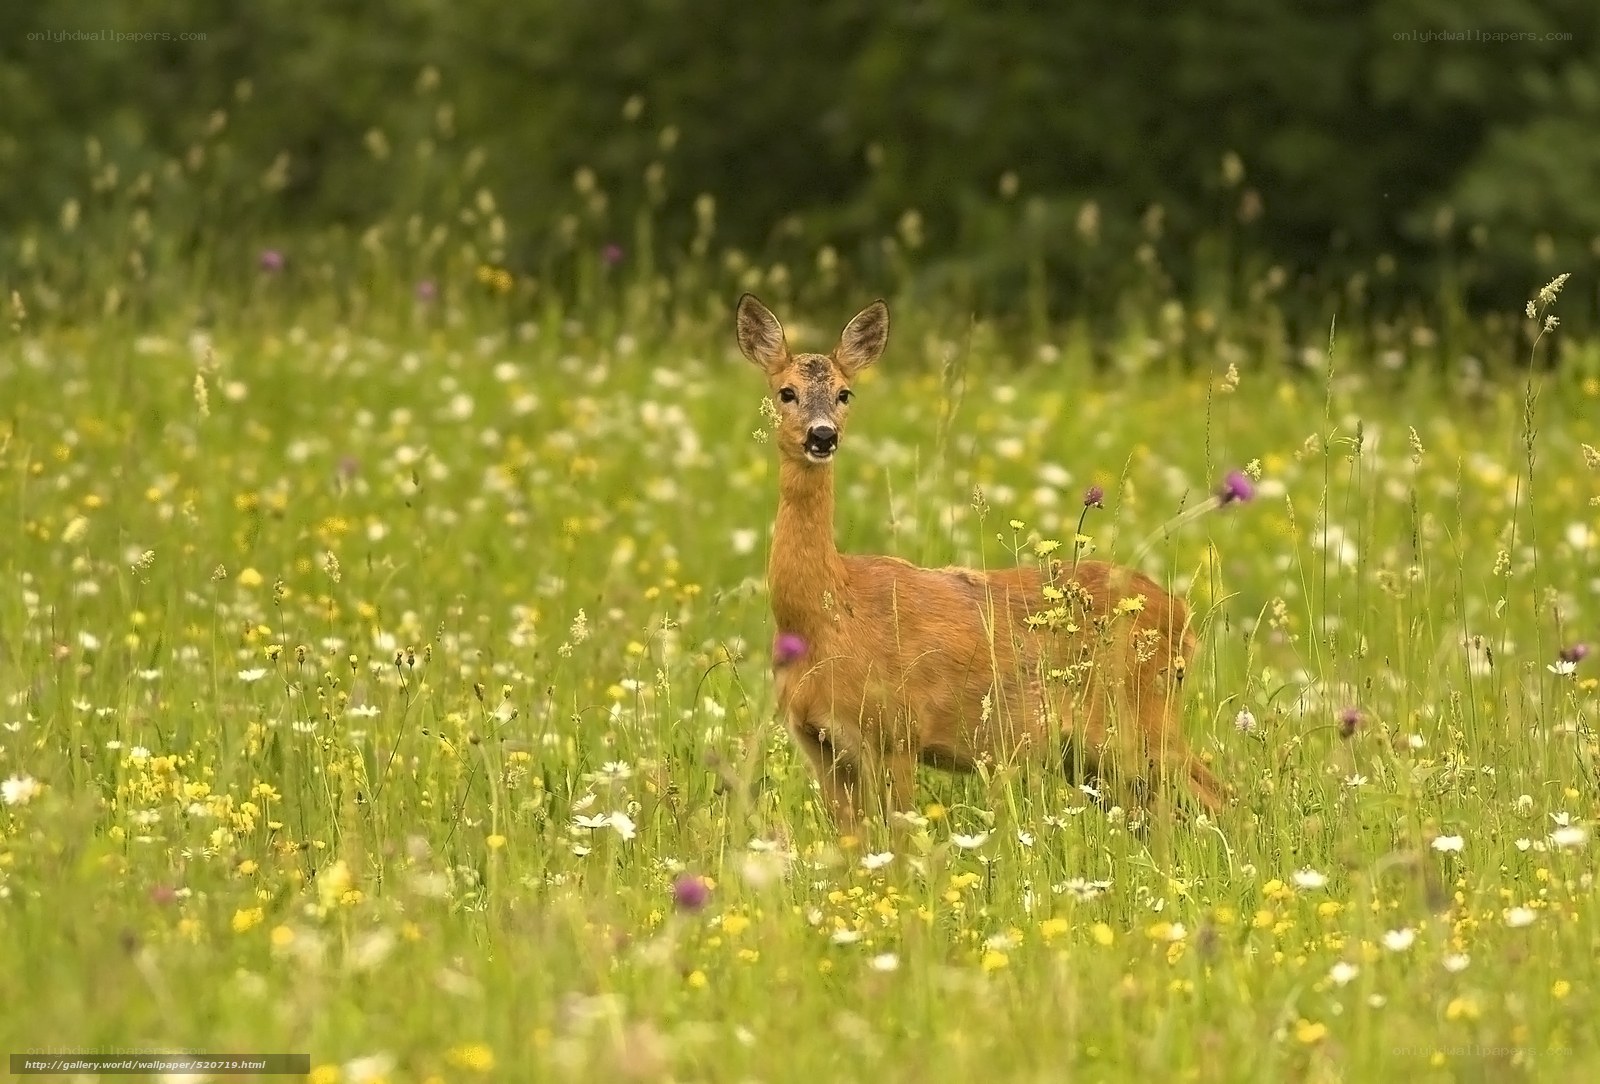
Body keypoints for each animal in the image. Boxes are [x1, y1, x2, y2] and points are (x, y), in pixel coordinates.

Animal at [735, 293, 1226, 834]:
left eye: (846, 394)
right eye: (786, 392)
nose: (822, 436)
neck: (828, 615)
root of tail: (1183, 616)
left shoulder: (896, 731)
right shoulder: (818, 742)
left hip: (1138, 719)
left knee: (1220, 794)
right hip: (1092, 755)